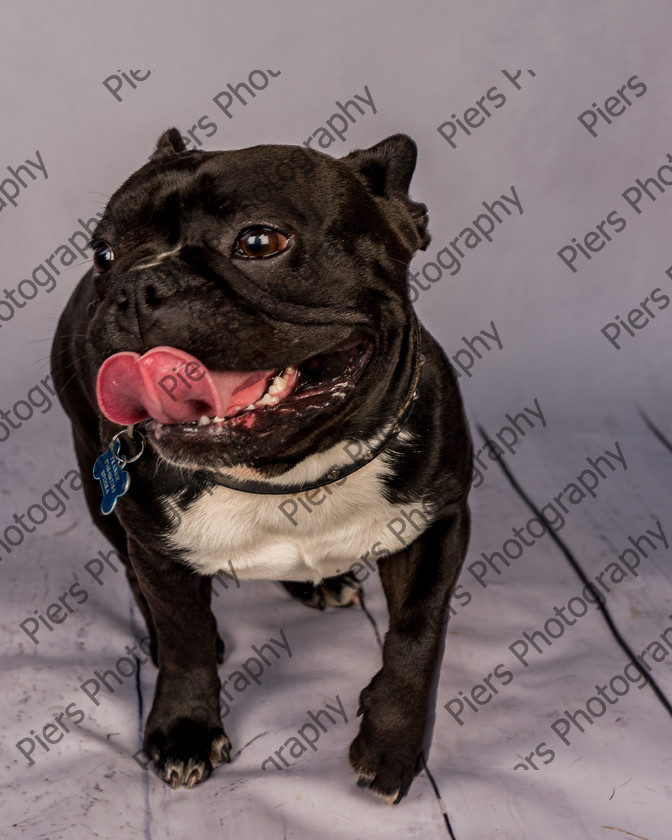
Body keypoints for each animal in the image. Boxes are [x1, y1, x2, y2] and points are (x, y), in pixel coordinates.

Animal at [51, 128, 472, 804]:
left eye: (258, 242)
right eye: (103, 254)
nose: (136, 285)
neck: (287, 474)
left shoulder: (437, 525)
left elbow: (418, 635)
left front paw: (392, 746)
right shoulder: (154, 545)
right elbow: (186, 634)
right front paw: (186, 728)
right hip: (101, 497)